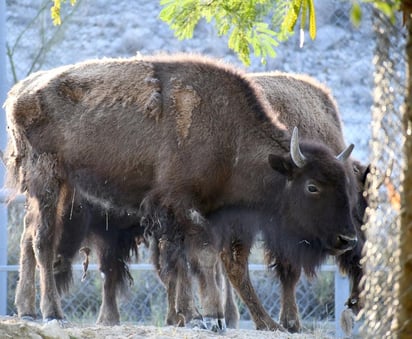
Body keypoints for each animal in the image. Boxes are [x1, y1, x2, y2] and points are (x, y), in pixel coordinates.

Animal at [4, 54, 358, 334]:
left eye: (347, 186)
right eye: (312, 186)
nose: (347, 238)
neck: (229, 138)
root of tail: (19, 92)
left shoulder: (192, 214)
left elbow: (183, 262)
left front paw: (188, 316)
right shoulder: (181, 206)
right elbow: (199, 257)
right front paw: (208, 318)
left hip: (60, 186)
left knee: (28, 237)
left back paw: (28, 310)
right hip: (46, 179)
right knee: (42, 241)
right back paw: (53, 313)